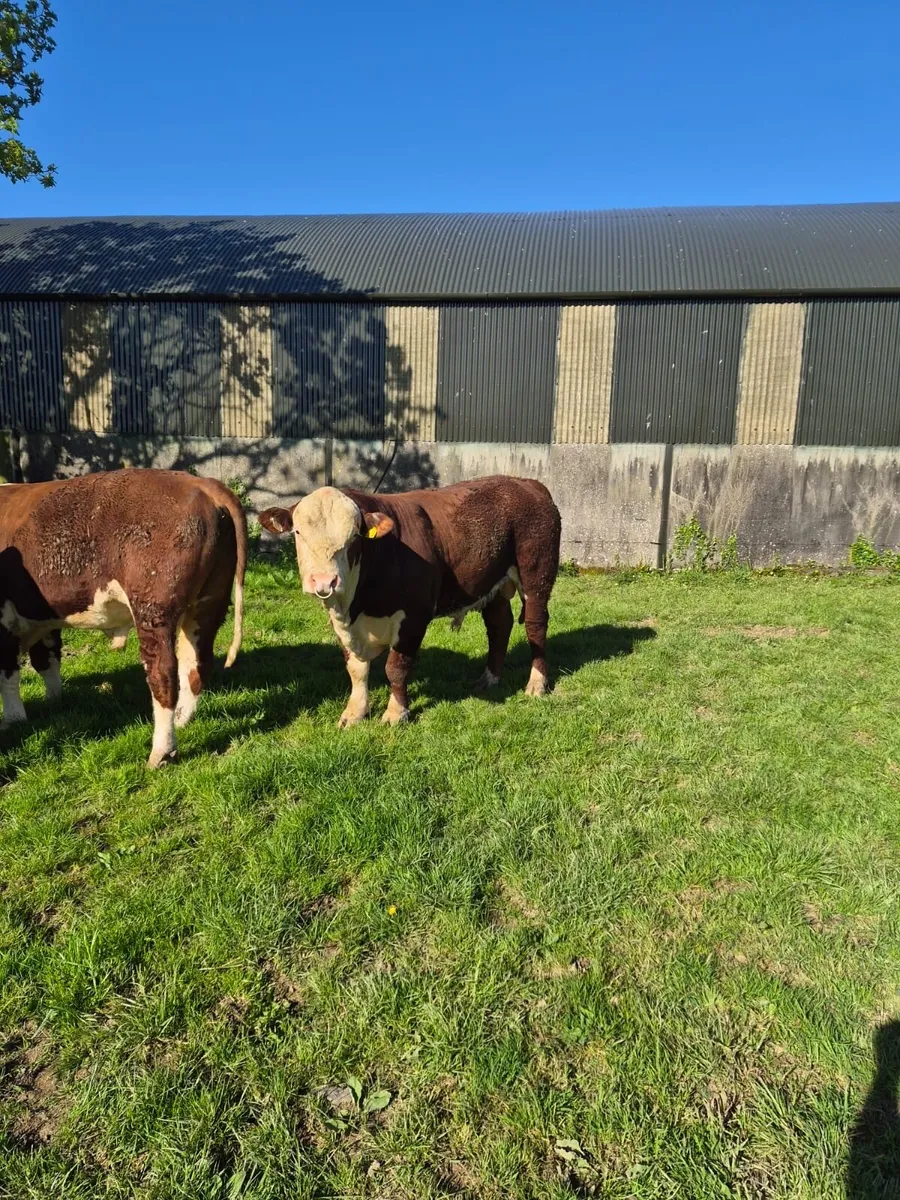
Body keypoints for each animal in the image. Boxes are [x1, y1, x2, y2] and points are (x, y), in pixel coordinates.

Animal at [0, 469, 247, 767]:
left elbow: (8, 673)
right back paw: (182, 721)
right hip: (207, 605)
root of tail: (201, 482)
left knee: (163, 673)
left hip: (154, 609)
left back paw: (161, 751)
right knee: (196, 664)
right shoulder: (41, 619)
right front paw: (54, 702)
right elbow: (46, 661)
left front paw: (13, 719)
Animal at [259, 476, 561, 727]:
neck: (359, 605)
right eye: (298, 533)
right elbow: (356, 669)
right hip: (493, 583)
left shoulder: (414, 617)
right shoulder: (342, 622)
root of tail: (527, 483)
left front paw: (396, 713)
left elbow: (396, 668)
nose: (324, 581)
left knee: (535, 625)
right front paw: (354, 713)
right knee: (499, 625)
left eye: (354, 537)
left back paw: (537, 684)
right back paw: (489, 678)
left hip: (537, 573)